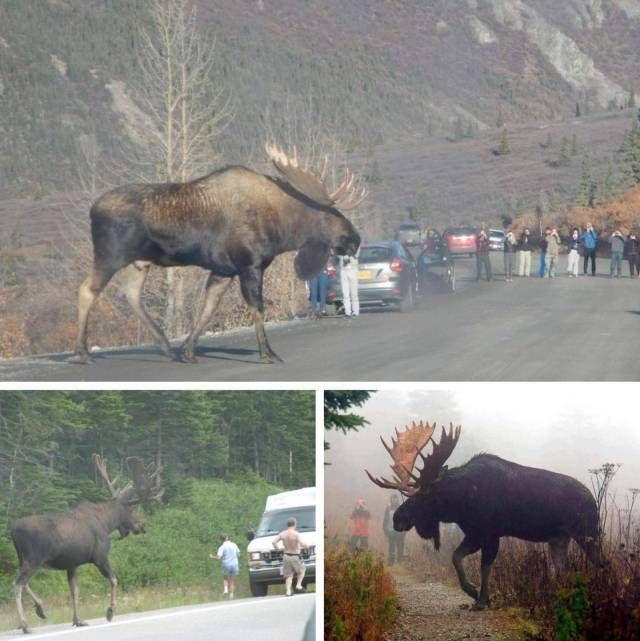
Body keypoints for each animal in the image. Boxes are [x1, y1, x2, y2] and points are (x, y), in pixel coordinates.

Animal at [10, 456, 162, 632]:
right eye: (132, 509)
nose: (143, 524)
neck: (108, 523)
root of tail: (13, 530)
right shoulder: (100, 558)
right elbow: (114, 580)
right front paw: (110, 611)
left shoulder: (71, 565)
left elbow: (74, 591)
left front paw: (77, 620)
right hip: (34, 559)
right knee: (17, 584)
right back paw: (25, 624)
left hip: (22, 558)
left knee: (21, 582)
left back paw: (40, 608)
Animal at [72, 144, 362, 364]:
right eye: (329, 214)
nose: (355, 239)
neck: (281, 230)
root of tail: (92, 210)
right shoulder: (249, 266)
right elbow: (257, 309)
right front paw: (267, 353)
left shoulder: (224, 270)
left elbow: (208, 309)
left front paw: (188, 350)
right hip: (110, 255)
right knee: (87, 290)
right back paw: (83, 353)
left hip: (139, 262)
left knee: (131, 293)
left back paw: (166, 347)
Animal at [368, 422, 604, 608]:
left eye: (422, 497)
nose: (397, 518)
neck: (460, 502)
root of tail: (594, 501)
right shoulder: (475, 533)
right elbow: (456, 556)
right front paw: (474, 593)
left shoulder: (490, 533)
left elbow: (484, 567)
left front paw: (481, 599)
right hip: (558, 539)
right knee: (563, 570)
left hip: (588, 533)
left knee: (602, 563)